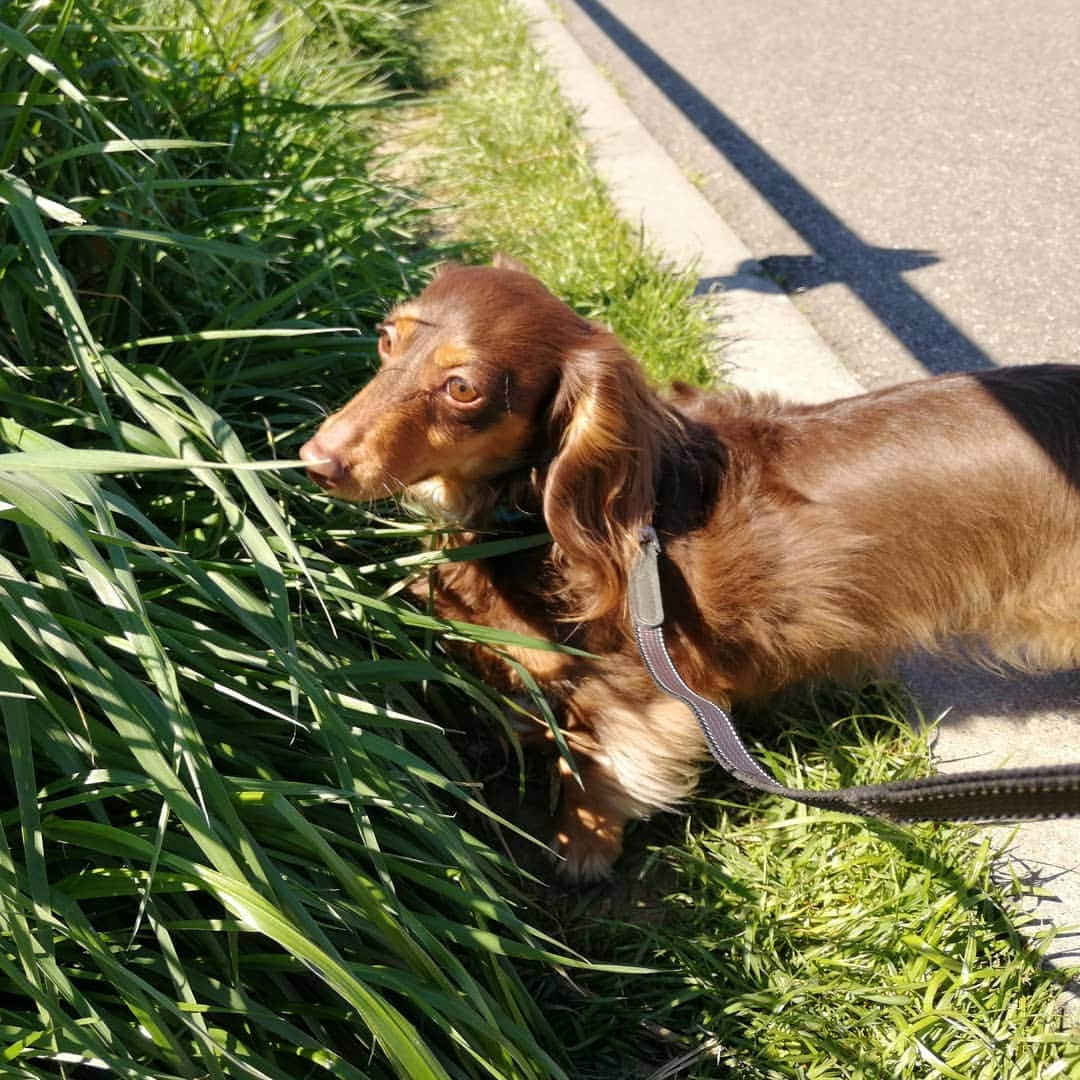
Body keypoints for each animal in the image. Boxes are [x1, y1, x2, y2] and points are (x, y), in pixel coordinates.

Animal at [300, 259, 1080, 876]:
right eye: (388, 338)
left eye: (464, 388)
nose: (316, 461)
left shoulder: (640, 693)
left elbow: (596, 771)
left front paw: (582, 847)